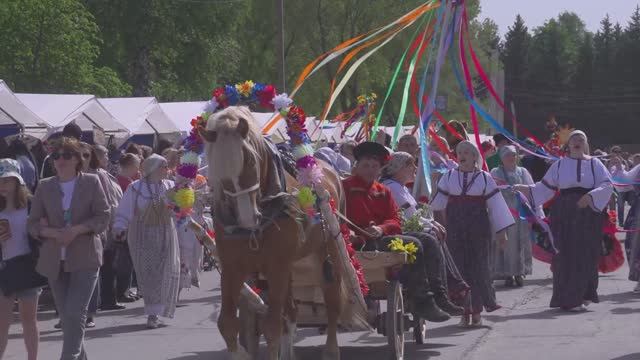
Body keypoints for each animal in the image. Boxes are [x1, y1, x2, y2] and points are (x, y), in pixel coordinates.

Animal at [201, 107, 348, 360]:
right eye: (216, 168)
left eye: (250, 160)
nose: (247, 217)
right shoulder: (232, 268)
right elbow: (227, 324)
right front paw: (242, 353)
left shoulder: (276, 267)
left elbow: (271, 326)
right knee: (291, 313)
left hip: (327, 250)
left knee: (332, 301)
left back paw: (331, 350)